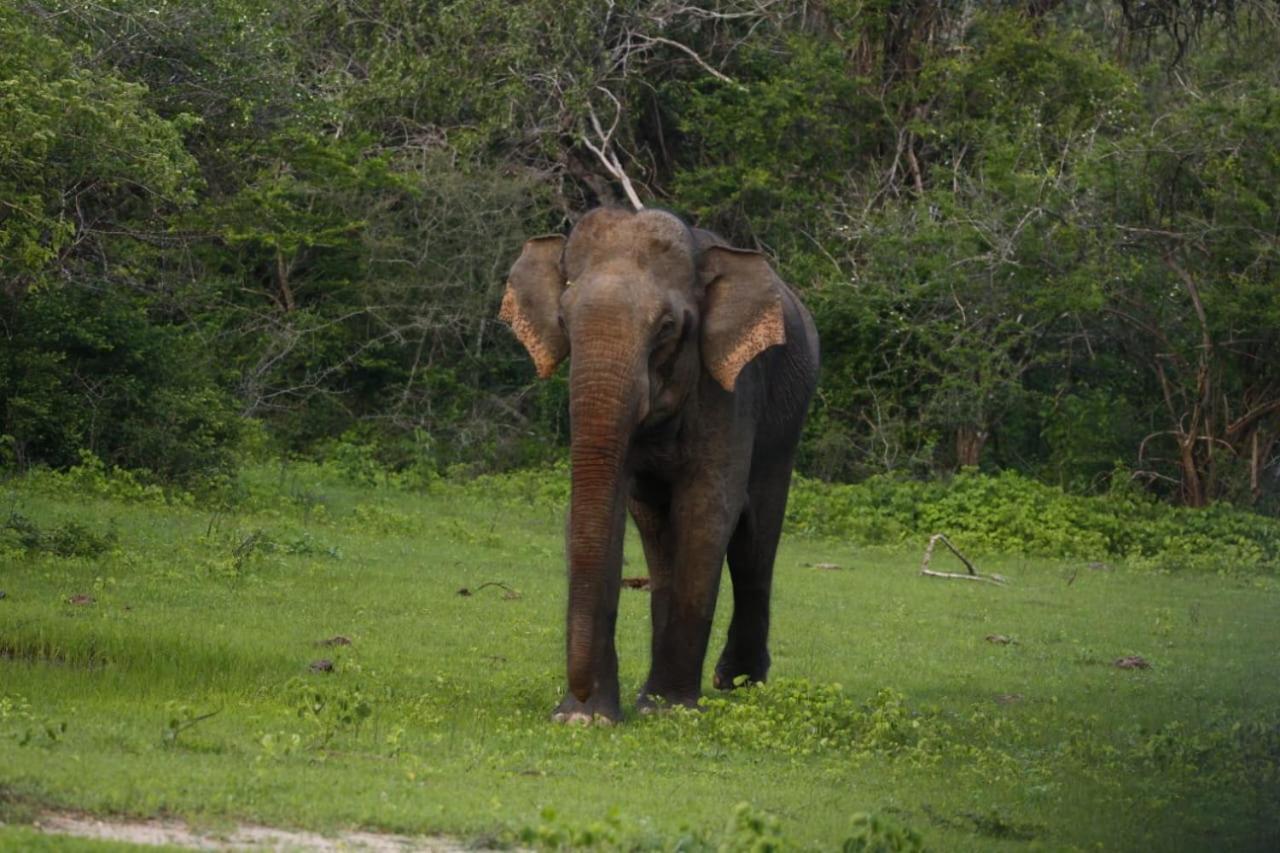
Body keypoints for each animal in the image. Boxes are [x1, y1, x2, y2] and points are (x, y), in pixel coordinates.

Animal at [499, 204, 819, 717]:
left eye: (667, 328)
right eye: (564, 321)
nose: (577, 694)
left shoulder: (730, 391)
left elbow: (708, 511)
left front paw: (667, 711)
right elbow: (607, 508)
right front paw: (586, 719)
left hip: (787, 422)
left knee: (754, 539)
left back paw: (737, 683)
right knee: (658, 533)